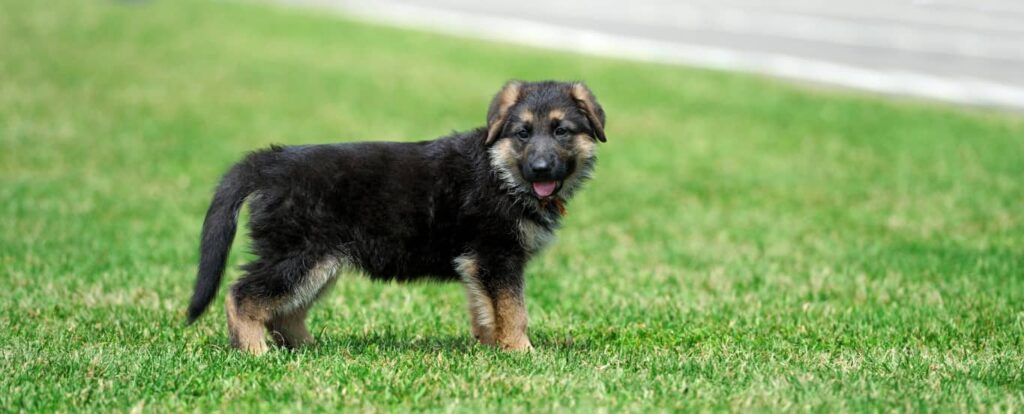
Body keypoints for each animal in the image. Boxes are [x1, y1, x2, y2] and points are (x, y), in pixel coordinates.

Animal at [186, 79, 606, 352]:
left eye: (562, 132)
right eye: (523, 133)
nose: (540, 168)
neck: (500, 171)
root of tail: (272, 163)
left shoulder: (479, 265)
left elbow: (486, 310)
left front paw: (492, 347)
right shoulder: (495, 258)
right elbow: (514, 310)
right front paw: (523, 352)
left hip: (319, 263)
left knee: (285, 312)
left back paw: (309, 349)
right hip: (299, 256)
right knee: (243, 296)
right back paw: (255, 351)